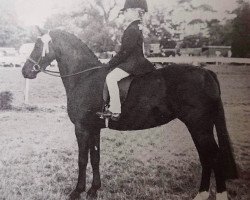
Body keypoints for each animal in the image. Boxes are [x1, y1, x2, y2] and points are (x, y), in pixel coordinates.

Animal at [22, 30, 238, 200]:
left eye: (38, 45)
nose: (25, 71)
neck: (84, 76)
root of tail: (206, 72)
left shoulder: (82, 128)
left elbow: (82, 160)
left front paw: (77, 192)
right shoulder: (93, 128)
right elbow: (95, 158)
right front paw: (94, 190)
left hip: (199, 126)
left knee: (213, 156)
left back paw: (217, 195)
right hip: (200, 127)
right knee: (206, 157)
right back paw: (201, 194)